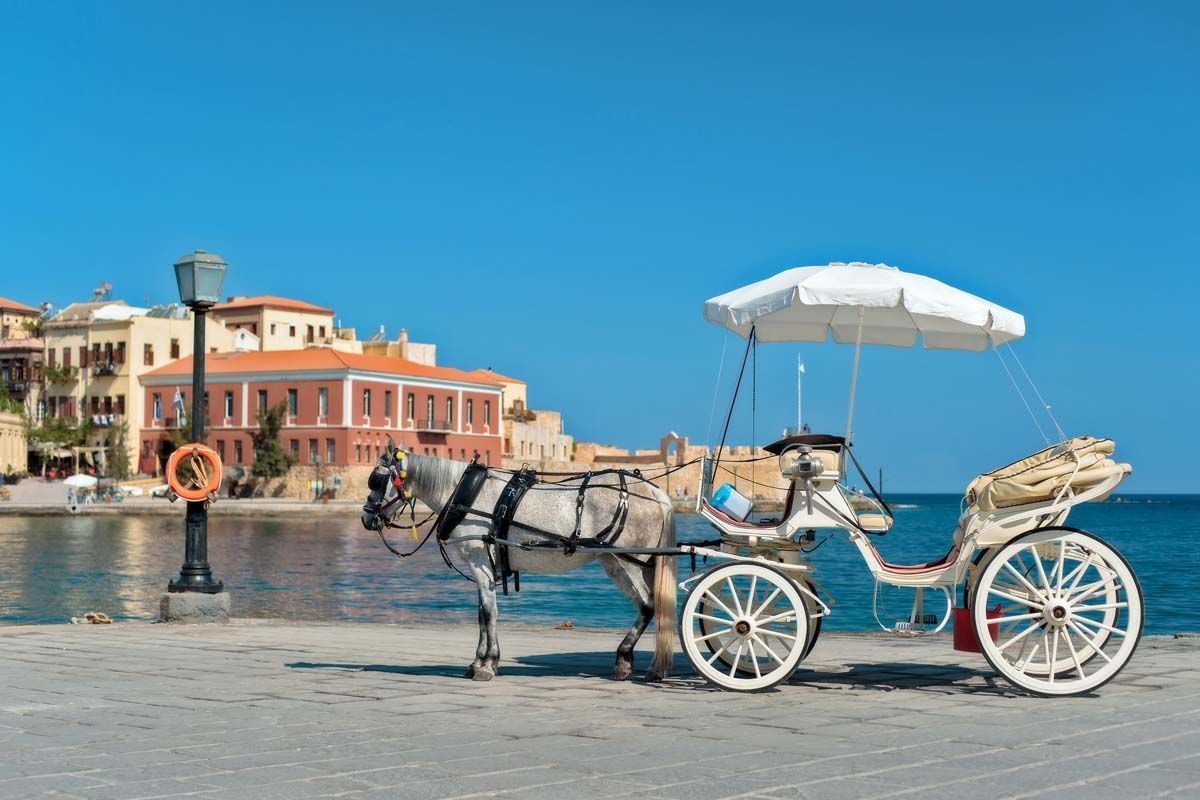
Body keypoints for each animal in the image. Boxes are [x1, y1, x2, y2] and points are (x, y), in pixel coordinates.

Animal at [360, 443, 676, 681]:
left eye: (376, 480)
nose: (365, 517)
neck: (467, 494)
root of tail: (655, 492)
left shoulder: (479, 560)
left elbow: (489, 613)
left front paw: (487, 664)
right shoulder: (484, 566)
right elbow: (481, 614)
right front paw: (478, 662)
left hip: (629, 561)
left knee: (648, 606)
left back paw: (625, 658)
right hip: (625, 562)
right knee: (653, 606)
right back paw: (642, 665)